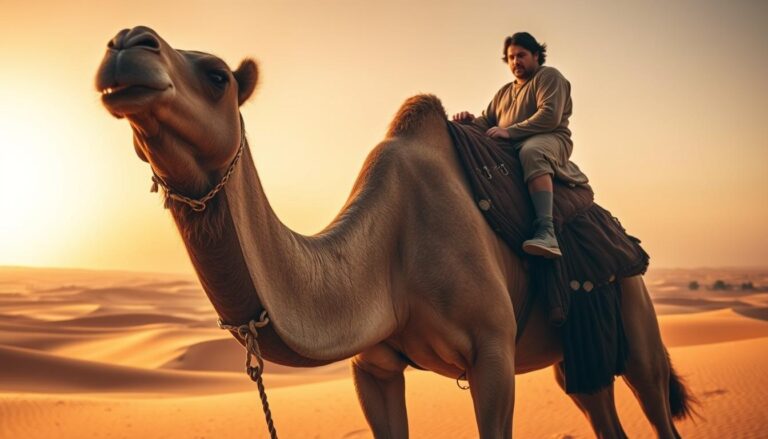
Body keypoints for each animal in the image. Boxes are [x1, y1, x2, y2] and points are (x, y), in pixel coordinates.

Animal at [95, 26, 693, 438]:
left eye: (218, 76)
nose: (126, 42)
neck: (388, 256)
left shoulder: (493, 354)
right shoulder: (374, 369)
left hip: (637, 321)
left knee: (655, 401)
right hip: (579, 356)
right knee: (599, 405)